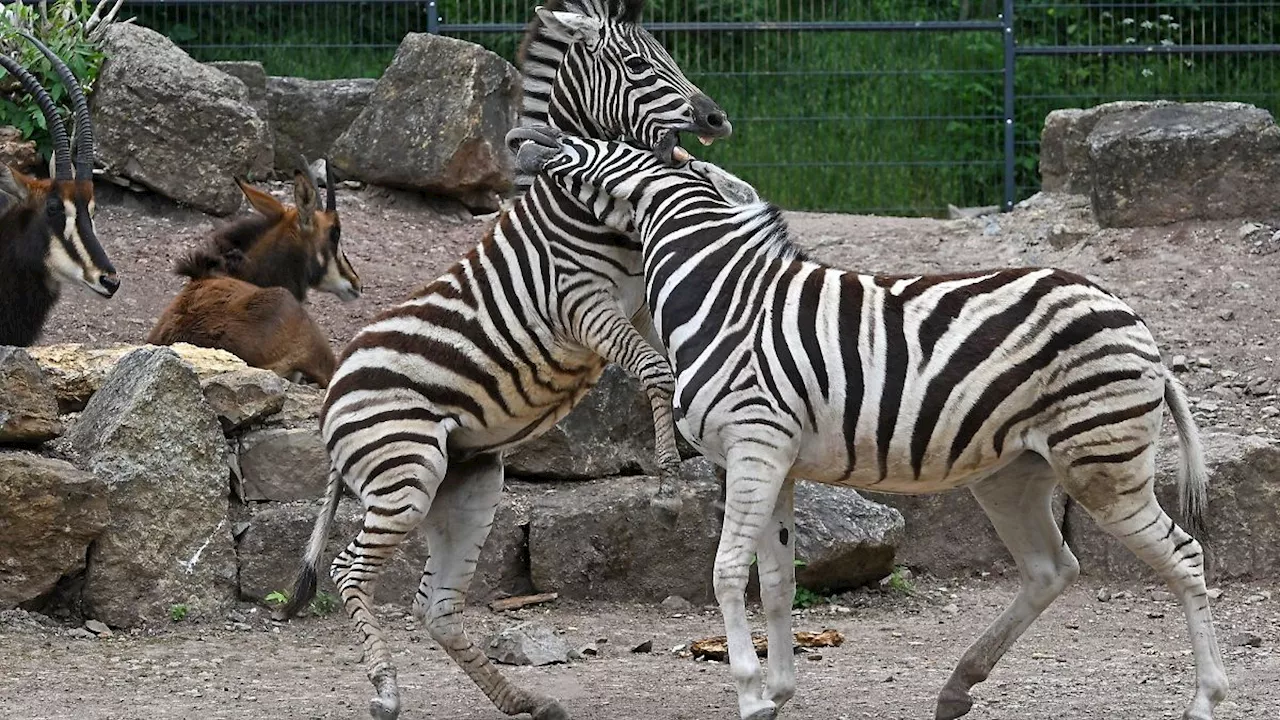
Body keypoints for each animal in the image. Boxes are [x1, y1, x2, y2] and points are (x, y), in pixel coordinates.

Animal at [285, 1, 737, 717]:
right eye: (637, 63)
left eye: (668, 53)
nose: (717, 120)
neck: (584, 206)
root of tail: (333, 390)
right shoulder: (582, 306)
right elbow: (656, 369)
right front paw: (668, 469)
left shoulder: (638, 305)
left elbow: (676, 365)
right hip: (403, 472)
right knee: (348, 570)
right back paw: (385, 688)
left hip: (466, 483)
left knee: (436, 606)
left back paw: (521, 698)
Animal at [509, 130, 1228, 717]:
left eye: (602, 144)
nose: (523, 137)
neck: (719, 294)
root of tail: (1135, 322)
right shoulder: (777, 462)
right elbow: (778, 580)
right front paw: (780, 691)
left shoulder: (753, 445)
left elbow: (726, 570)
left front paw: (749, 693)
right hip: (1013, 473)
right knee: (1052, 567)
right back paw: (959, 685)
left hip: (1102, 464)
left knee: (1184, 555)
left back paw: (1204, 699)